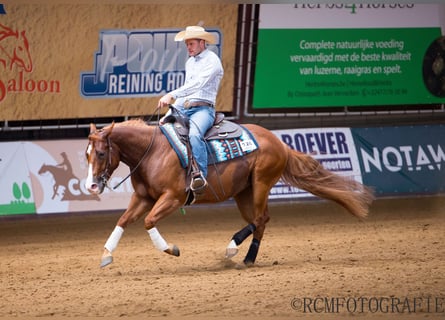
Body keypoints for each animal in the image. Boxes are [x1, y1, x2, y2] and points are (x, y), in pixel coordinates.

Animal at [85, 118, 372, 268]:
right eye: (87, 154)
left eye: (100, 153)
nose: (91, 186)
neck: (153, 150)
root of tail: (279, 143)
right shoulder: (144, 198)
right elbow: (123, 220)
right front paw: (106, 254)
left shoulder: (172, 198)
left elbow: (148, 221)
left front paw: (171, 249)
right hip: (244, 193)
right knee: (259, 221)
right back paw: (248, 258)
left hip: (261, 183)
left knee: (261, 218)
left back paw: (233, 248)